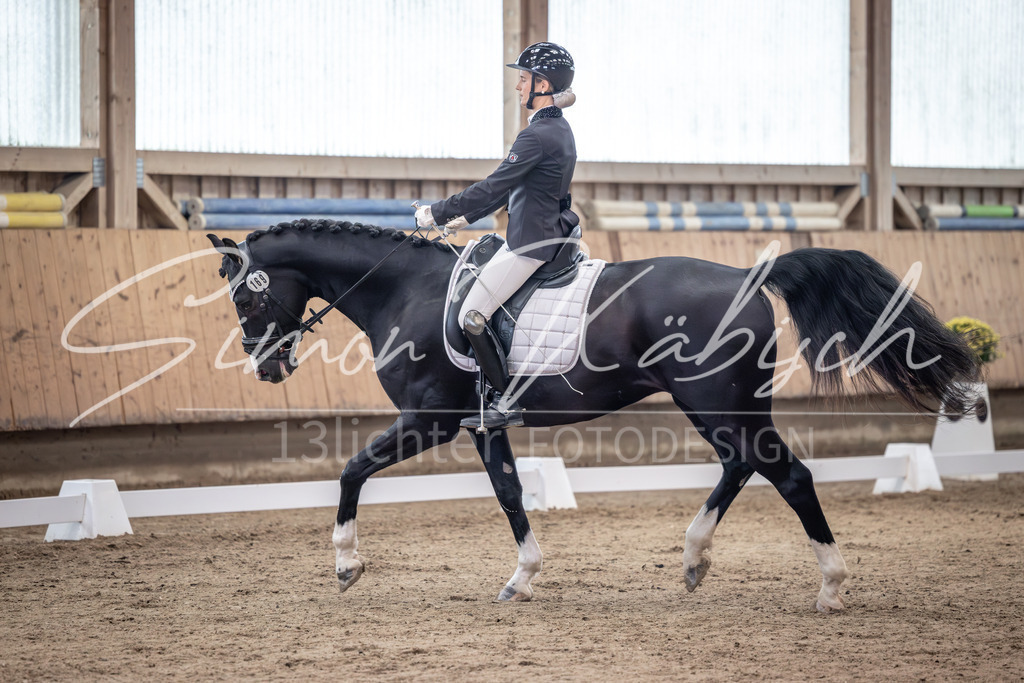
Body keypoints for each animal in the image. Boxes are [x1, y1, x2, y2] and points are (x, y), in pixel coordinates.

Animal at [207, 218, 977, 612]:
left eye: (244, 296)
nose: (266, 367)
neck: (406, 289)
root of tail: (748, 275)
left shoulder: (433, 418)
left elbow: (350, 469)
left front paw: (347, 564)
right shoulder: (485, 424)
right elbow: (510, 493)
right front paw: (523, 576)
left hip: (716, 401)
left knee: (788, 475)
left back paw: (830, 587)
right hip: (726, 406)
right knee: (745, 465)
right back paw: (694, 559)